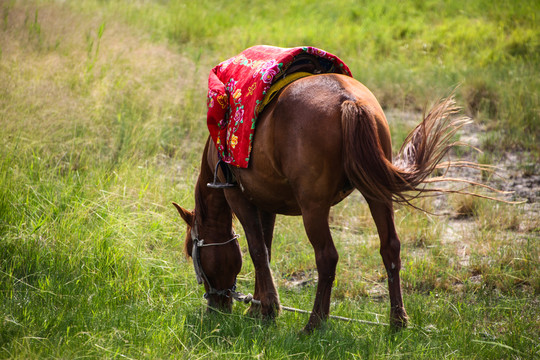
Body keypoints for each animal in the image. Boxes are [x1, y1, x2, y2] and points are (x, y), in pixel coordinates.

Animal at [174, 72, 472, 332]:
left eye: (192, 250)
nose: (216, 306)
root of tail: (348, 100)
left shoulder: (238, 197)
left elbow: (258, 250)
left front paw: (268, 309)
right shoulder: (266, 203)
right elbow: (266, 251)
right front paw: (259, 307)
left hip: (313, 208)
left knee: (327, 257)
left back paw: (314, 324)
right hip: (377, 195)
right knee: (390, 248)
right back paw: (397, 321)